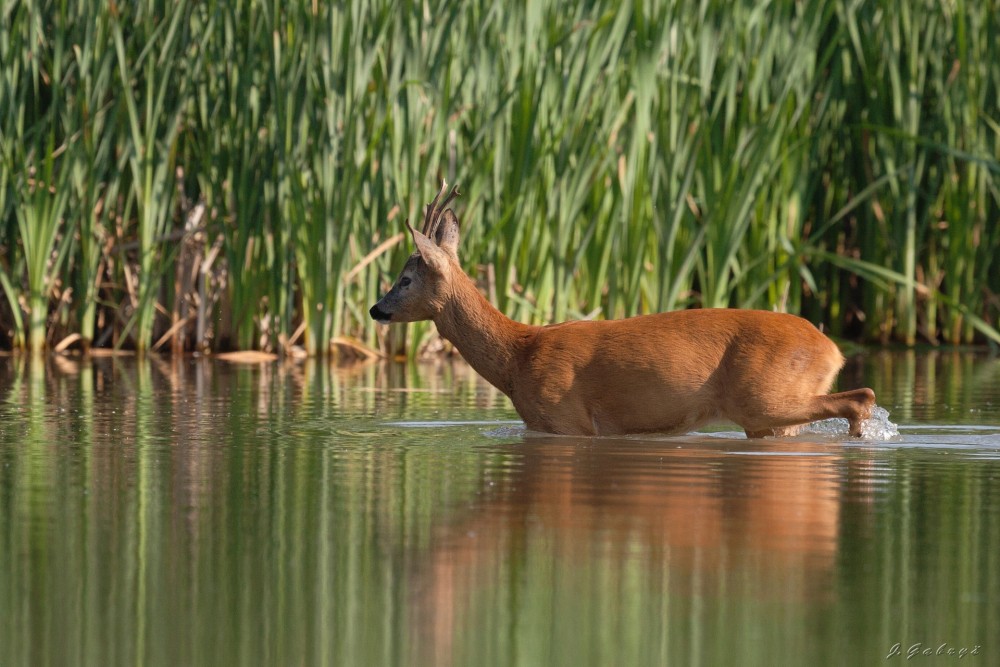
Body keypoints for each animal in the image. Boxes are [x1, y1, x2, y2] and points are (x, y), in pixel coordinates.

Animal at [370, 183, 876, 438]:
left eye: (405, 279)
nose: (376, 309)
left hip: (765, 396)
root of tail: (832, 348)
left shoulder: (565, 418)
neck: (518, 355)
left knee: (861, 397)